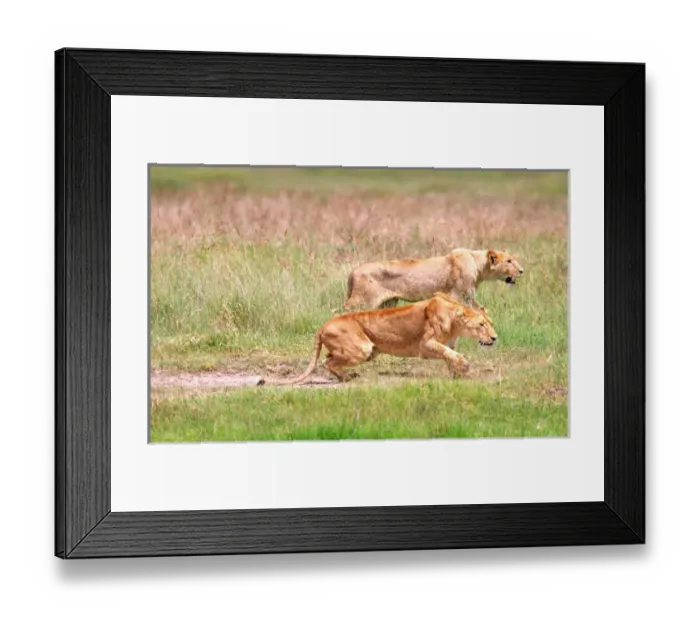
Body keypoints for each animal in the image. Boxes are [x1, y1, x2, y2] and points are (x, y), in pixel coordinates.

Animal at [265, 293, 497, 385]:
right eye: (481, 325)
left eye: (490, 323)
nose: (494, 338)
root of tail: (323, 325)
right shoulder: (425, 346)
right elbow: (449, 353)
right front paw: (464, 367)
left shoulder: (446, 343)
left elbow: (450, 355)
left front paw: (459, 374)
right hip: (363, 348)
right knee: (325, 361)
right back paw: (348, 378)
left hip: (366, 351)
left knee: (330, 358)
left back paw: (346, 377)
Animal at [343, 248, 524, 313]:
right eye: (509, 261)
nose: (522, 271)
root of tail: (353, 271)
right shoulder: (462, 295)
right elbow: (479, 310)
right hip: (362, 300)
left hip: (388, 303)